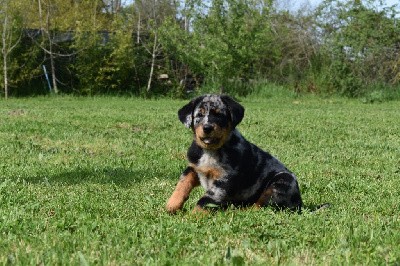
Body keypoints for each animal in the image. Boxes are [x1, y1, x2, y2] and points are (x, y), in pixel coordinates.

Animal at [166, 94, 304, 213]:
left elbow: (205, 201)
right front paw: (171, 205)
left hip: (281, 182)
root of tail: (299, 203)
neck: (210, 151)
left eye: (219, 115)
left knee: (259, 206)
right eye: (199, 115)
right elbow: (182, 183)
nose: (207, 128)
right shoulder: (193, 168)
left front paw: (192, 217)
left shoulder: (223, 180)